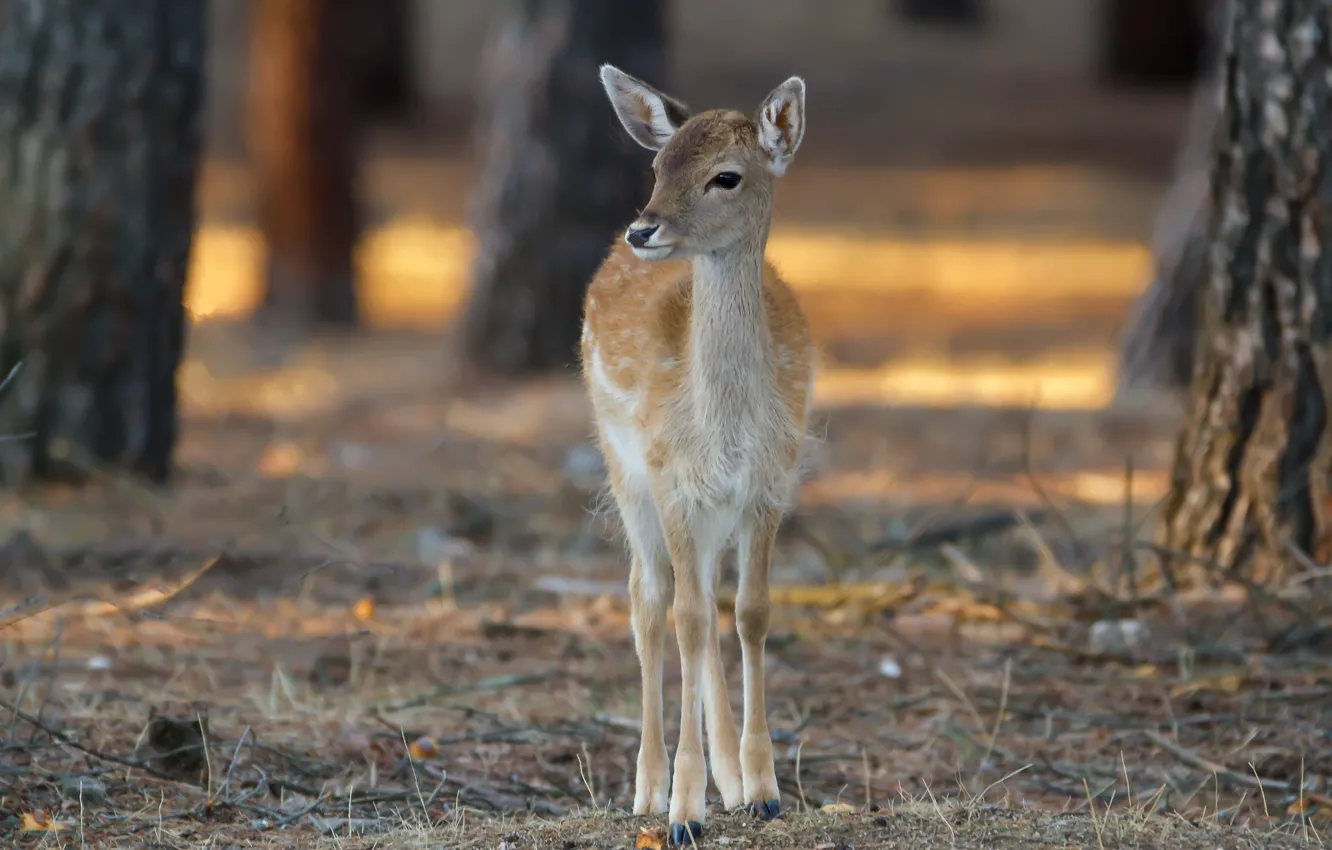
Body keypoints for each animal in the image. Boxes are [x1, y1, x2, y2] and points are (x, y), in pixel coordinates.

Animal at [580, 66, 809, 847]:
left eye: (725, 176)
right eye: (658, 166)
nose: (642, 227)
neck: (725, 428)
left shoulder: (769, 483)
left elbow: (751, 612)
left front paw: (764, 790)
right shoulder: (671, 478)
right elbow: (682, 618)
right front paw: (684, 810)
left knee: (706, 600)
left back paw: (730, 783)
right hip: (623, 472)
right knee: (650, 601)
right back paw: (647, 789)